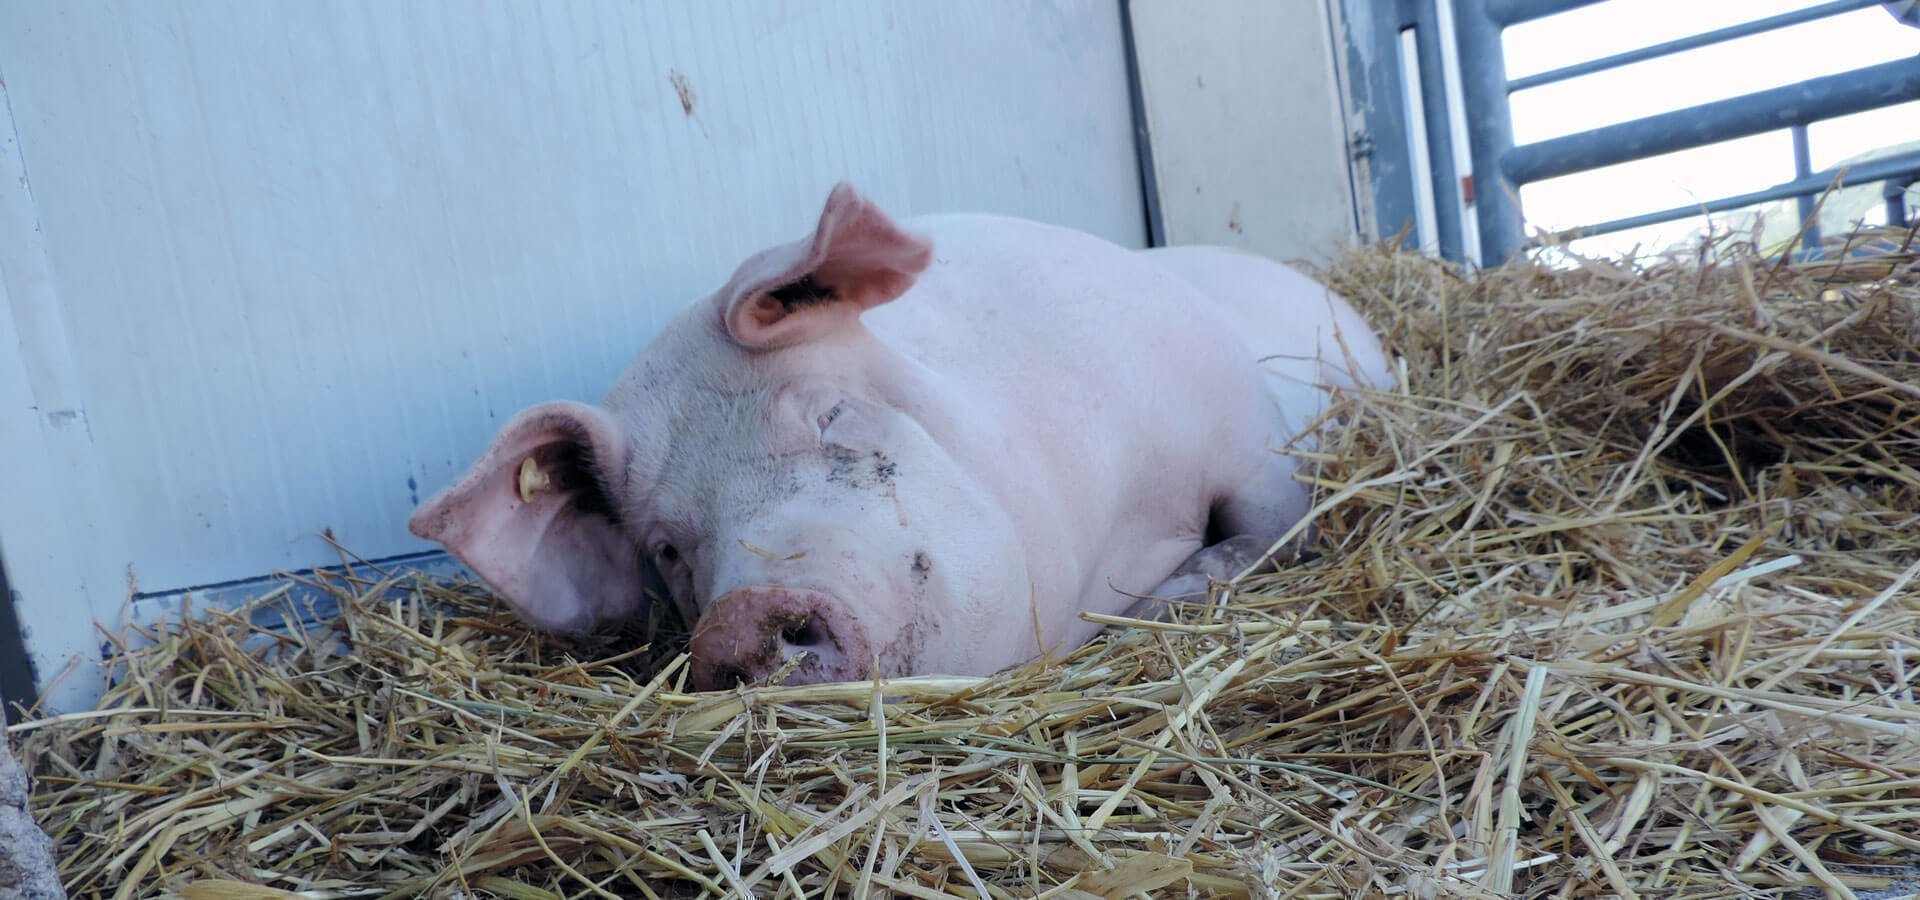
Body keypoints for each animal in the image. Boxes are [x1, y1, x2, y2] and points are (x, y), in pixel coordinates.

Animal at [412, 180, 1390, 686]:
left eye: (829, 415)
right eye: (667, 548)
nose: (740, 618)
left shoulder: (1240, 423)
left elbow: (1276, 525)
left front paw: (1172, 598)